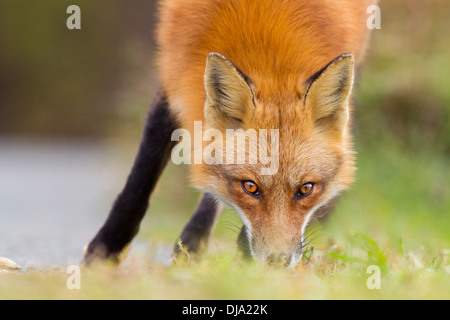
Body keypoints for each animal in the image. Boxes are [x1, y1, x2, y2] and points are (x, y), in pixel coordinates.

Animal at [84, 0, 376, 268]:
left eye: (306, 189)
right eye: (250, 187)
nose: (277, 261)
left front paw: (243, 258)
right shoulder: (173, 87)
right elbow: (140, 182)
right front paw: (105, 250)